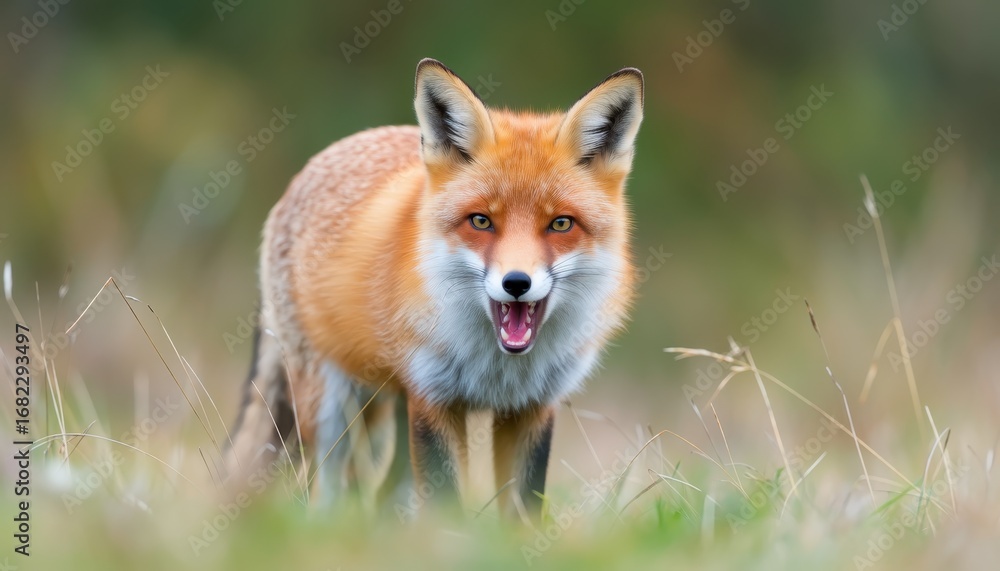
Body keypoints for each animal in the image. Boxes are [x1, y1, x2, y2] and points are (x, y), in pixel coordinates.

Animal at [225, 59, 644, 519]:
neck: (497, 370)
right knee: (327, 490)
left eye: (561, 223)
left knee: (379, 493)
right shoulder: (433, 396)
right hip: (334, 408)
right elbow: (446, 501)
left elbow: (521, 510)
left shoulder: (533, 406)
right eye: (481, 221)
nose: (517, 283)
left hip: (384, 411)